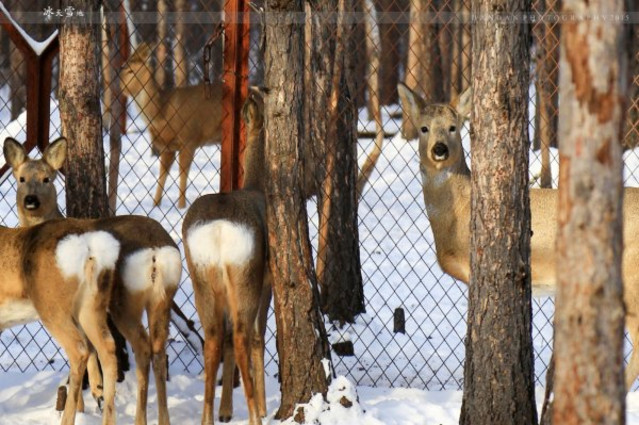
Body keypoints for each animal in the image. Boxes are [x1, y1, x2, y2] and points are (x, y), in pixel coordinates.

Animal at [0, 219, 121, 424]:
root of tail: (90, 245)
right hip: (91, 305)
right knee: (107, 347)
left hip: (51, 306)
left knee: (79, 349)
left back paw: (67, 418)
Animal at [121, 43, 224, 209]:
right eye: (122, 67)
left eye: (131, 70)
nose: (121, 88)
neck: (161, 113)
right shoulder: (167, 146)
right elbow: (162, 174)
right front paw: (155, 204)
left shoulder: (189, 138)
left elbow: (183, 173)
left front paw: (181, 206)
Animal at [181, 87, 272, 424]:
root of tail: (219, 227)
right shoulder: (267, 280)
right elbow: (259, 338)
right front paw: (262, 407)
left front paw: (226, 410)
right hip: (245, 275)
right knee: (243, 336)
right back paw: (256, 415)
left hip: (201, 276)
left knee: (213, 338)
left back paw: (208, 416)